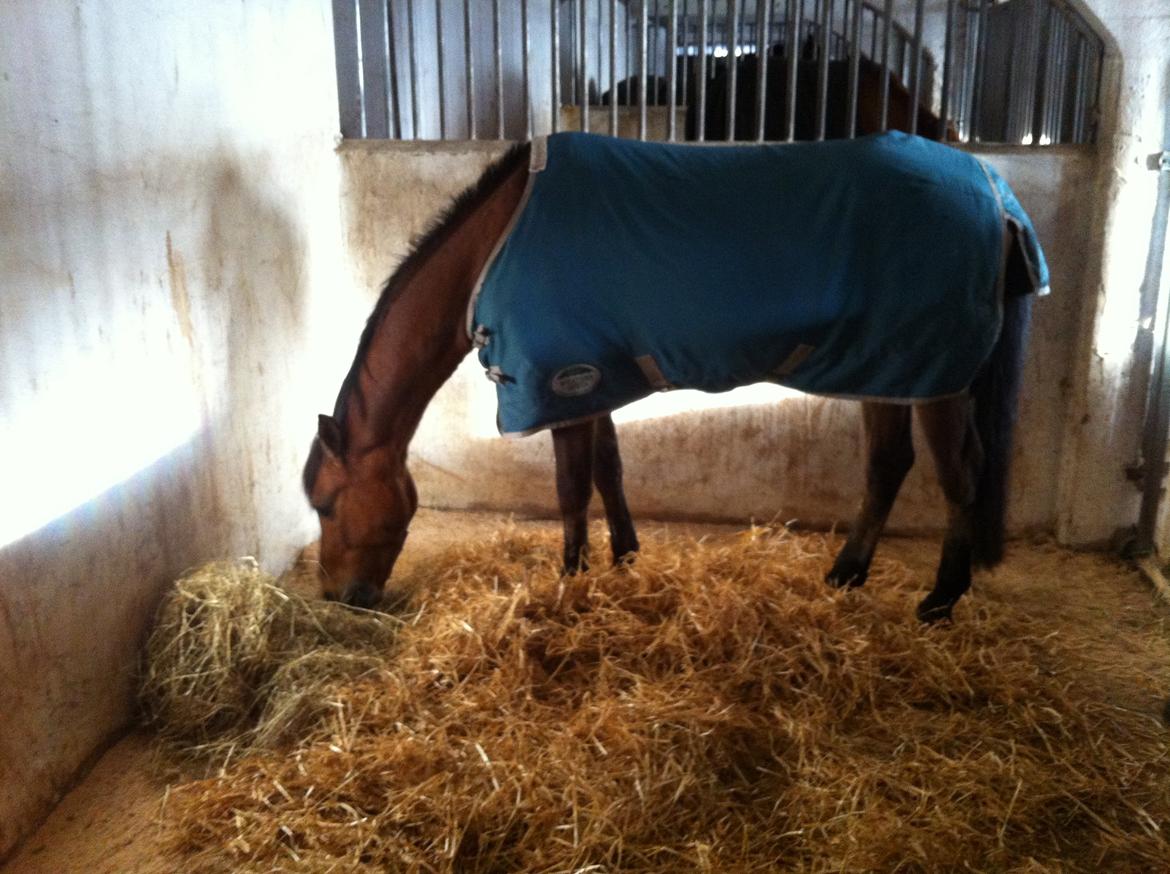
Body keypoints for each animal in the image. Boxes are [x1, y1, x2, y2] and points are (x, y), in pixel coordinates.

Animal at [303, 131, 1048, 623]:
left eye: (326, 504)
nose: (340, 596)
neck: (497, 244)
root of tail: (994, 192)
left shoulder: (559, 382)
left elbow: (571, 489)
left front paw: (569, 585)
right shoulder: (595, 377)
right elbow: (609, 470)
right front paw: (625, 560)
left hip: (935, 374)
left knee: (962, 472)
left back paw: (940, 598)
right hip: (886, 367)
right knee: (889, 463)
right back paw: (846, 575)